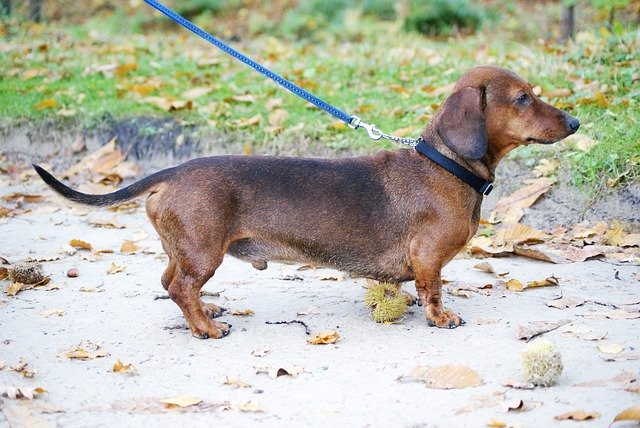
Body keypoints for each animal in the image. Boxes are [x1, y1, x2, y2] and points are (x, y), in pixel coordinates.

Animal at [35, 67, 580, 340]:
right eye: (524, 98)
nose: (576, 122)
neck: (446, 166)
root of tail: (175, 171)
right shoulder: (428, 257)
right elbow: (433, 289)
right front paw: (440, 318)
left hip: (186, 249)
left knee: (171, 283)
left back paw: (206, 313)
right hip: (204, 252)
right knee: (181, 288)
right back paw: (207, 327)